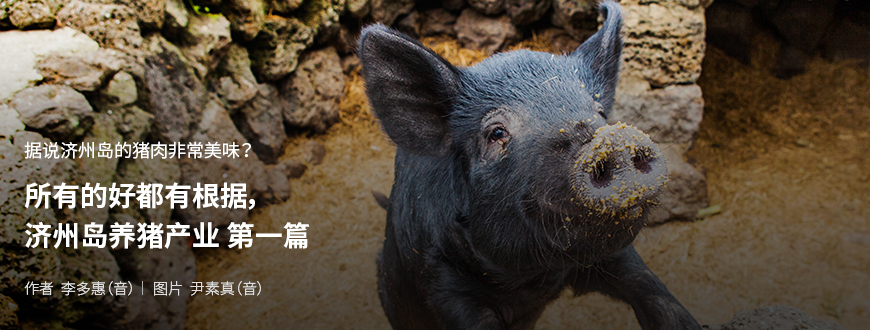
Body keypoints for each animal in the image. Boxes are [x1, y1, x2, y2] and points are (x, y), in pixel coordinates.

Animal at [358, 1, 704, 328]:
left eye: (601, 112)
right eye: (497, 133)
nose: (613, 139)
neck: (531, 278)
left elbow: (654, 292)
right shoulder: (443, 283)